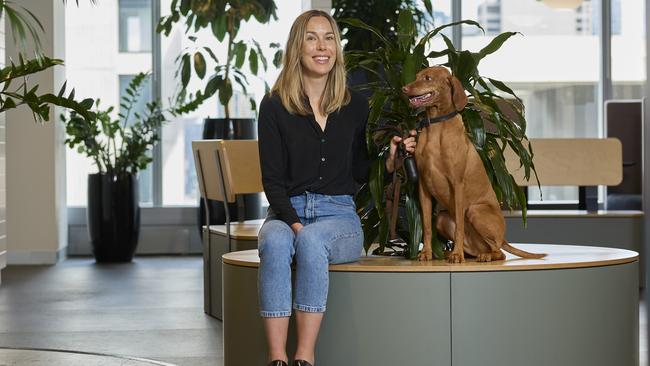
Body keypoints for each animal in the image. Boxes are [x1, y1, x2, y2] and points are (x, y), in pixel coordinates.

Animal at [400, 67, 540, 262]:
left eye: (428, 78)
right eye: (416, 76)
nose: (404, 89)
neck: (436, 126)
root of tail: (502, 238)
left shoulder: (457, 184)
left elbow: (459, 225)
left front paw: (457, 255)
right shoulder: (423, 188)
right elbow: (427, 226)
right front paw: (426, 253)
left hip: (475, 211)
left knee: (500, 252)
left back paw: (482, 255)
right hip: (442, 218)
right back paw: (450, 252)